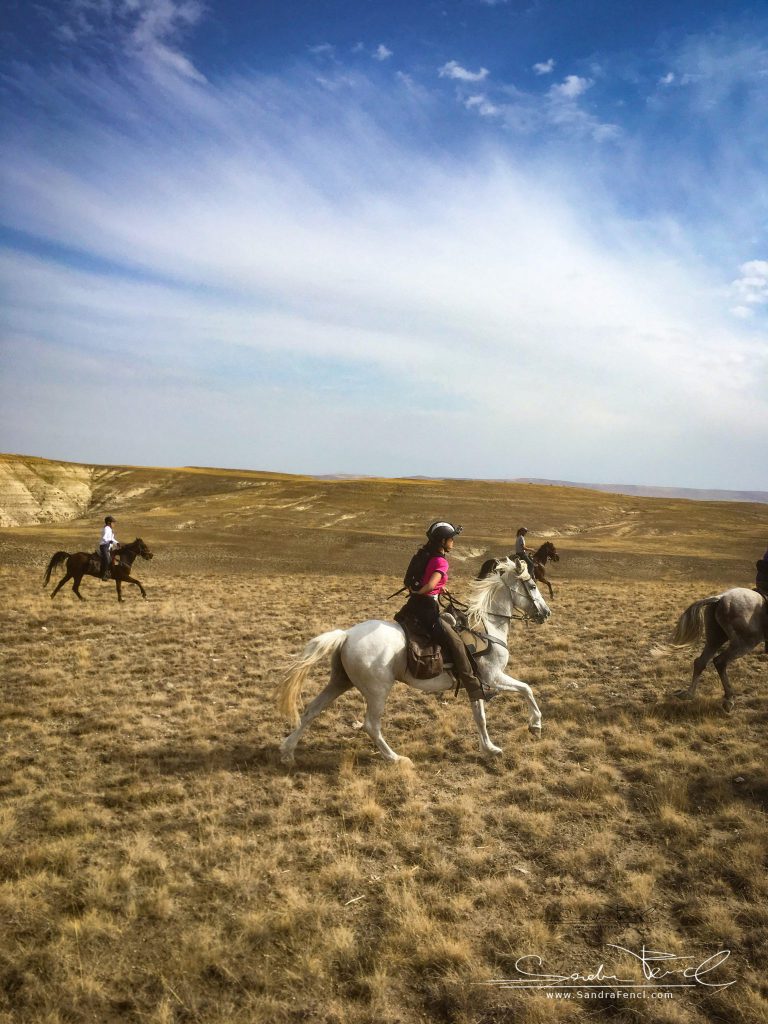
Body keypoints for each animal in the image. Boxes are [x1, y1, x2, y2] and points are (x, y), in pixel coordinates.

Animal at [280, 557, 548, 765]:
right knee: (371, 725)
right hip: (377, 691)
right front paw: (535, 725)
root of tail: (346, 635)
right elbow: (527, 689)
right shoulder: (492, 677)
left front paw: (489, 748)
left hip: (340, 681)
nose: (546, 613)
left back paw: (287, 752)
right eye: (533, 585)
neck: (487, 626)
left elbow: (480, 715)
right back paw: (395, 758)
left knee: (312, 710)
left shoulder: (475, 681)